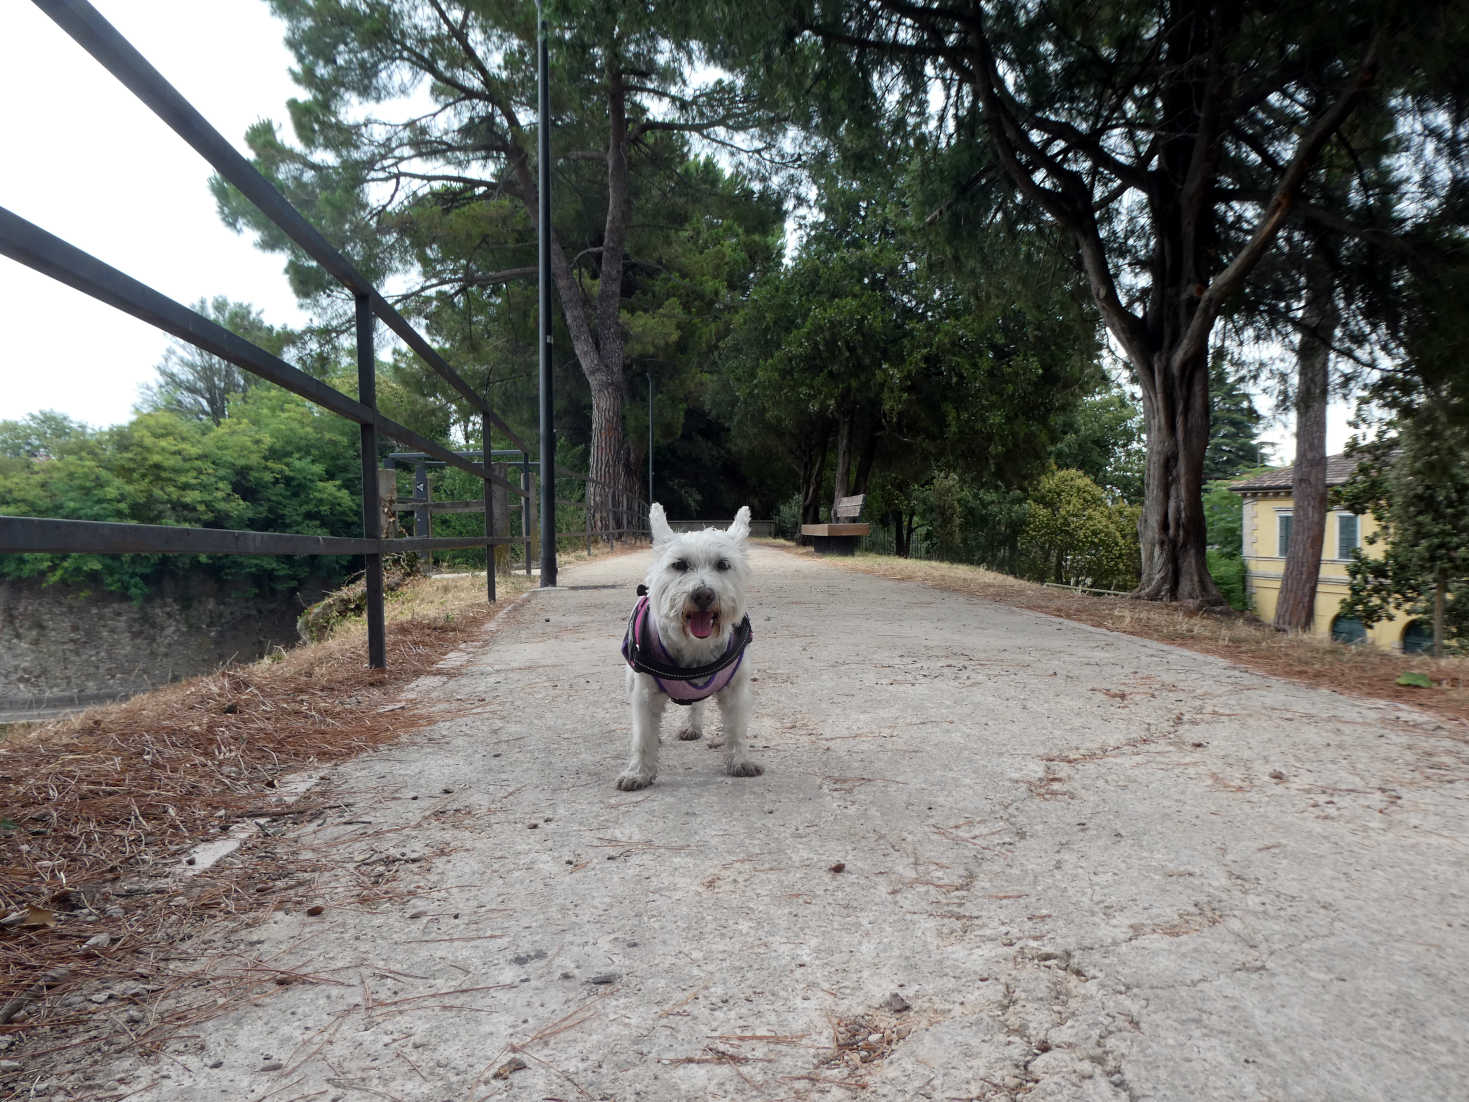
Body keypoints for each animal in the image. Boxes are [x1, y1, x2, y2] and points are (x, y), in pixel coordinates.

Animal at [616, 505, 763, 787]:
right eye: (679, 565)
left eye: (723, 564)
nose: (703, 595)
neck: (695, 645)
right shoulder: (644, 694)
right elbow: (643, 736)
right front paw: (638, 772)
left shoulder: (736, 691)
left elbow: (736, 729)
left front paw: (740, 761)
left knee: (697, 704)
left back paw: (693, 726)